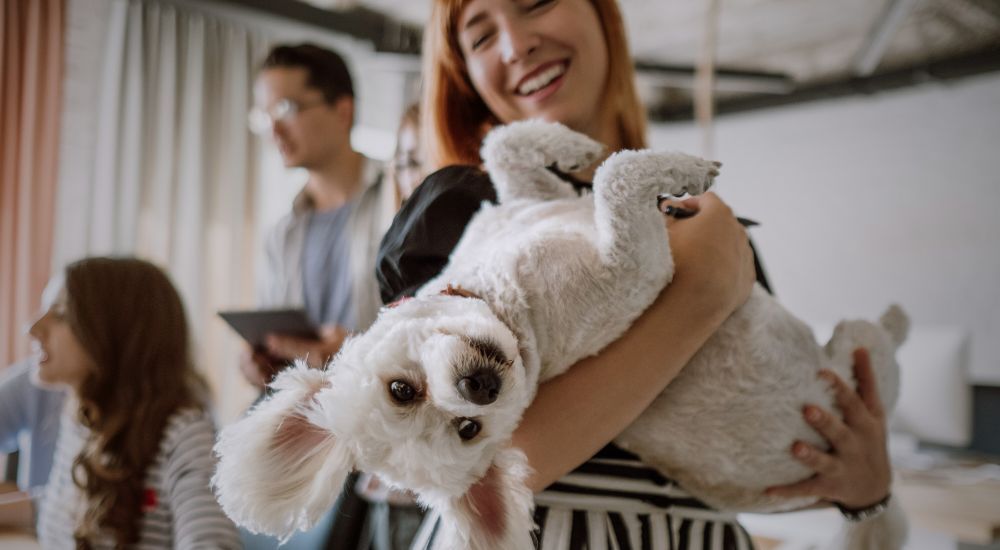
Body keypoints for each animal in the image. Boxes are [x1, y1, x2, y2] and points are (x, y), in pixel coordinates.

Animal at [215, 122, 912, 550]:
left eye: (400, 390)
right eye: (469, 431)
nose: (480, 386)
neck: (498, 287)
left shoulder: (527, 200)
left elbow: (508, 147)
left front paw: (574, 146)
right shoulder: (638, 270)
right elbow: (616, 180)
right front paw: (683, 169)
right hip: (857, 354)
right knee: (878, 344)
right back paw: (898, 320)